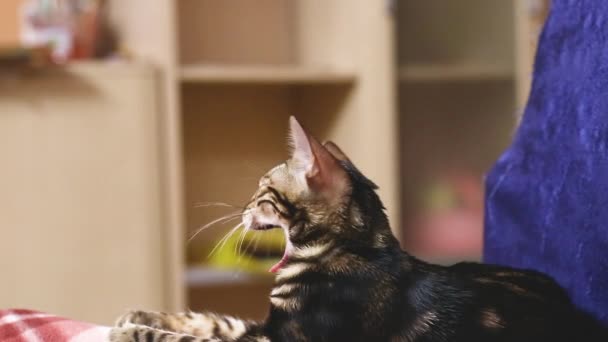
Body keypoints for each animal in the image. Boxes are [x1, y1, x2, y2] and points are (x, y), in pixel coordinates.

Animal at [110, 117, 608, 342]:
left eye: (262, 189)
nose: (245, 208)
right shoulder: (263, 326)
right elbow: (211, 319)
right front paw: (138, 314)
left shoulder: (282, 338)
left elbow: (198, 336)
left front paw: (131, 330)